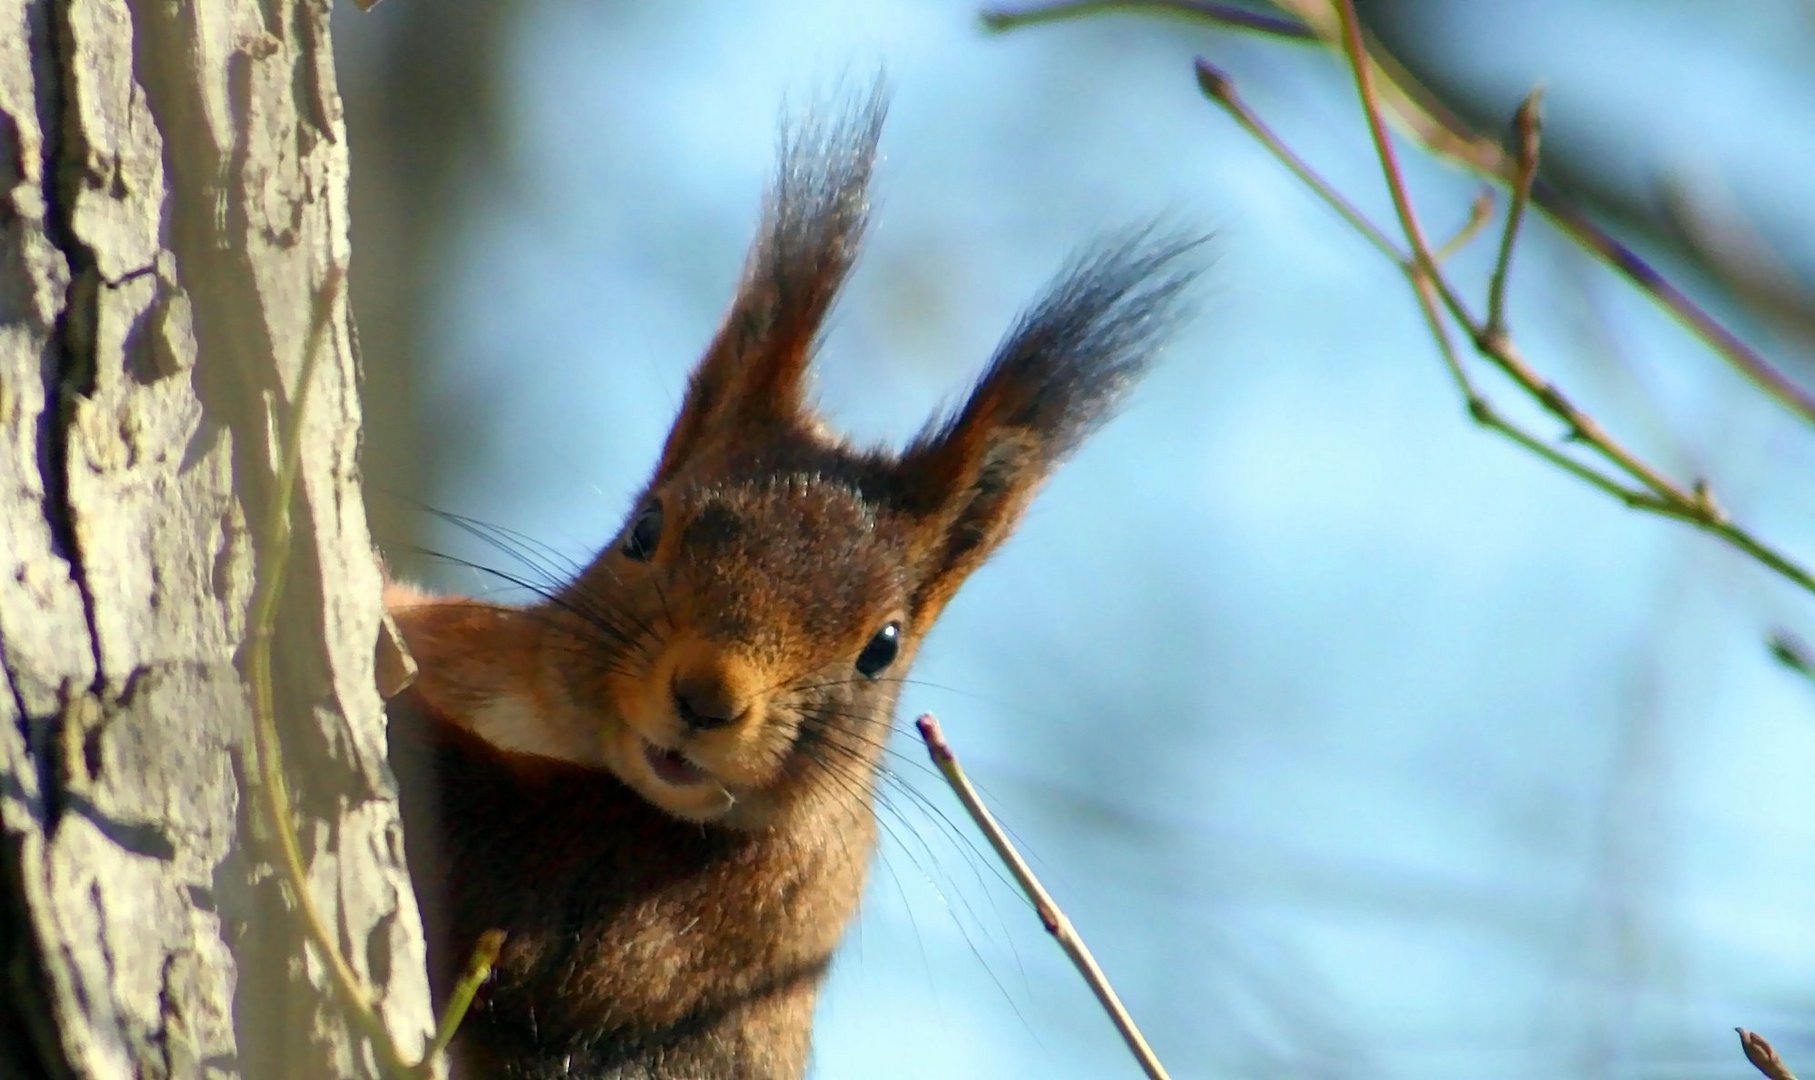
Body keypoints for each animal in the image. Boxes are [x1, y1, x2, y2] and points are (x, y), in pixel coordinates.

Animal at [386, 88, 1205, 1074]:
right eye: (644, 530)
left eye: (882, 647)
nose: (707, 697)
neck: (564, 728)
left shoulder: (727, 914)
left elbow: (500, 872)